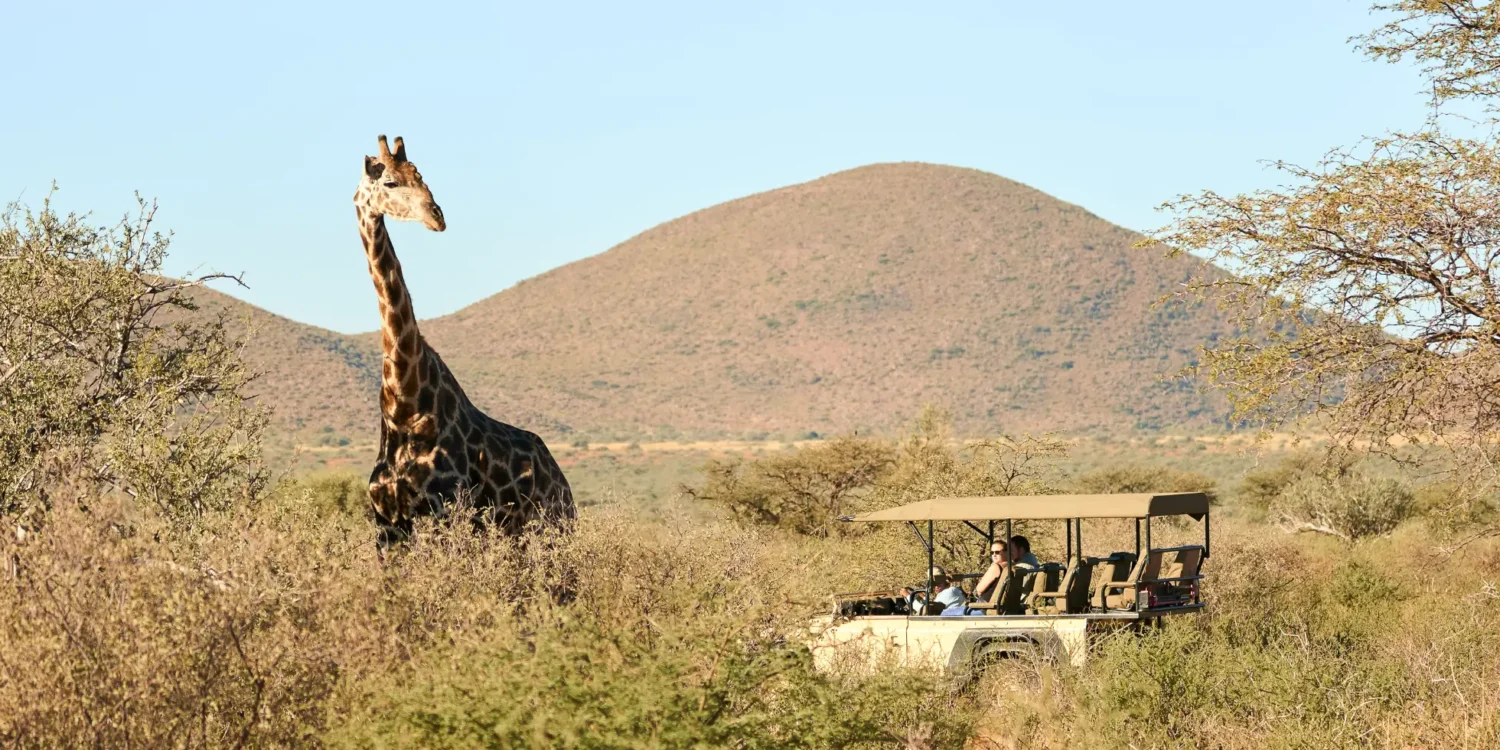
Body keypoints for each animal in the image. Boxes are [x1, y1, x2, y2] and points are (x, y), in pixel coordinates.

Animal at [354, 134, 575, 551]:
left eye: (421, 176)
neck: (403, 404)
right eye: (390, 181)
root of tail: (563, 483)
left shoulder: (443, 512)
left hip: (551, 529)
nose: (436, 216)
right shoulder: (387, 526)